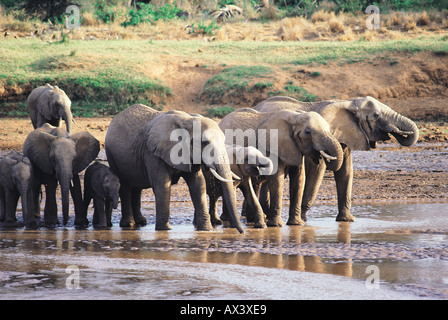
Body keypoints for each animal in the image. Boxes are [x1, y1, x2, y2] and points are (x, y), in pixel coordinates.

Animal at [105, 104, 245, 232]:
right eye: (204, 143)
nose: (242, 232)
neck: (188, 120)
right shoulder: (153, 153)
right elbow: (162, 186)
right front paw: (164, 230)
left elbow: (198, 185)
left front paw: (206, 230)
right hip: (113, 157)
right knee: (125, 186)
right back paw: (128, 225)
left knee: (136, 188)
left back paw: (141, 223)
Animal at [254, 95, 418, 222]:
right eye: (376, 115)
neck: (348, 102)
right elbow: (316, 171)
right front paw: (303, 220)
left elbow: (346, 171)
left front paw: (347, 220)